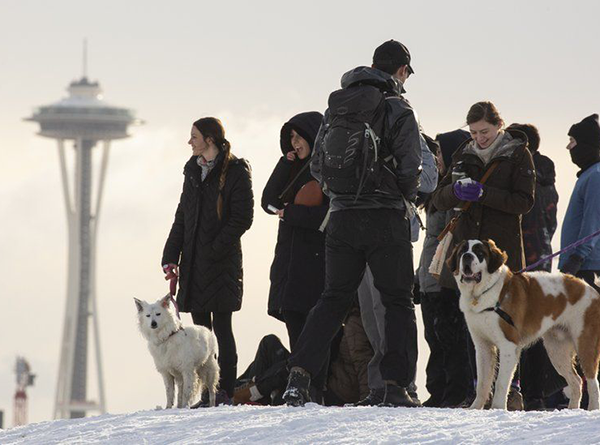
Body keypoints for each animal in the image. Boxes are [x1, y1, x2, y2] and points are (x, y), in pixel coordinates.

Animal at [448, 239, 600, 410]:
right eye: (462, 252)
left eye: (479, 253)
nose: (467, 256)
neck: (484, 293)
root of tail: (591, 289)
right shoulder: (483, 347)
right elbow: (482, 382)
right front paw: (475, 408)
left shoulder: (508, 345)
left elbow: (501, 382)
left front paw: (497, 408)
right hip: (556, 349)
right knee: (576, 381)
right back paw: (572, 409)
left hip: (585, 343)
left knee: (592, 381)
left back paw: (592, 408)